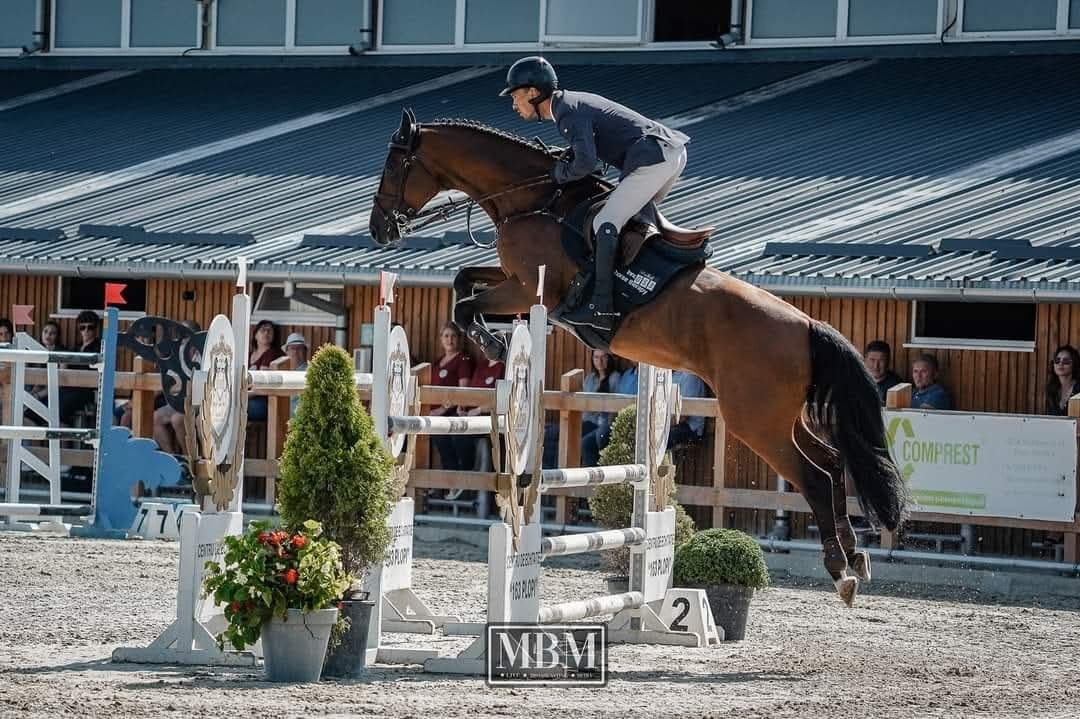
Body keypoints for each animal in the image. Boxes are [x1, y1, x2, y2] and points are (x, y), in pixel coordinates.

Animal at [369, 108, 908, 606]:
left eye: (394, 164)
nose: (379, 230)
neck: (534, 200)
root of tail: (807, 327)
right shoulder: (516, 282)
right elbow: (463, 281)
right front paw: (492, 339)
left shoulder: (530, 287)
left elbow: (465, 304)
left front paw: (493, 344)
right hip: (780, 417)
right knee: (833, 463)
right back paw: (856, 555)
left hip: (755, 420)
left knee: (815, 476)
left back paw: (841, 572)